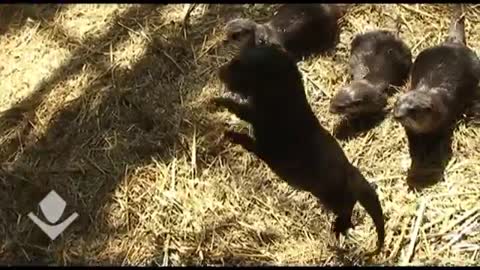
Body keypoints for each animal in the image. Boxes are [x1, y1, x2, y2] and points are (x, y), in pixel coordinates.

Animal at [212, 43, 384, 253]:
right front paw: (218, 102)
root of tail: (351, 172)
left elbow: (244, 127)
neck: (284, 108)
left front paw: (229, 129)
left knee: (347, 211)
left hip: (337, 198)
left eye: (238, 66)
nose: (220, 71)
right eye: (234, 58)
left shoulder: (264, 139)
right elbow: (241, 112)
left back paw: (337, 230)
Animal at [392, 5, 478, 189]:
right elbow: (413, 144)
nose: (397, 115)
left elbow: (438, 140)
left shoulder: (443, 121)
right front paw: (418, 155)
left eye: (412, 110)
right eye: (396, 103)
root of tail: (453, 42)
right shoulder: (411, 130)